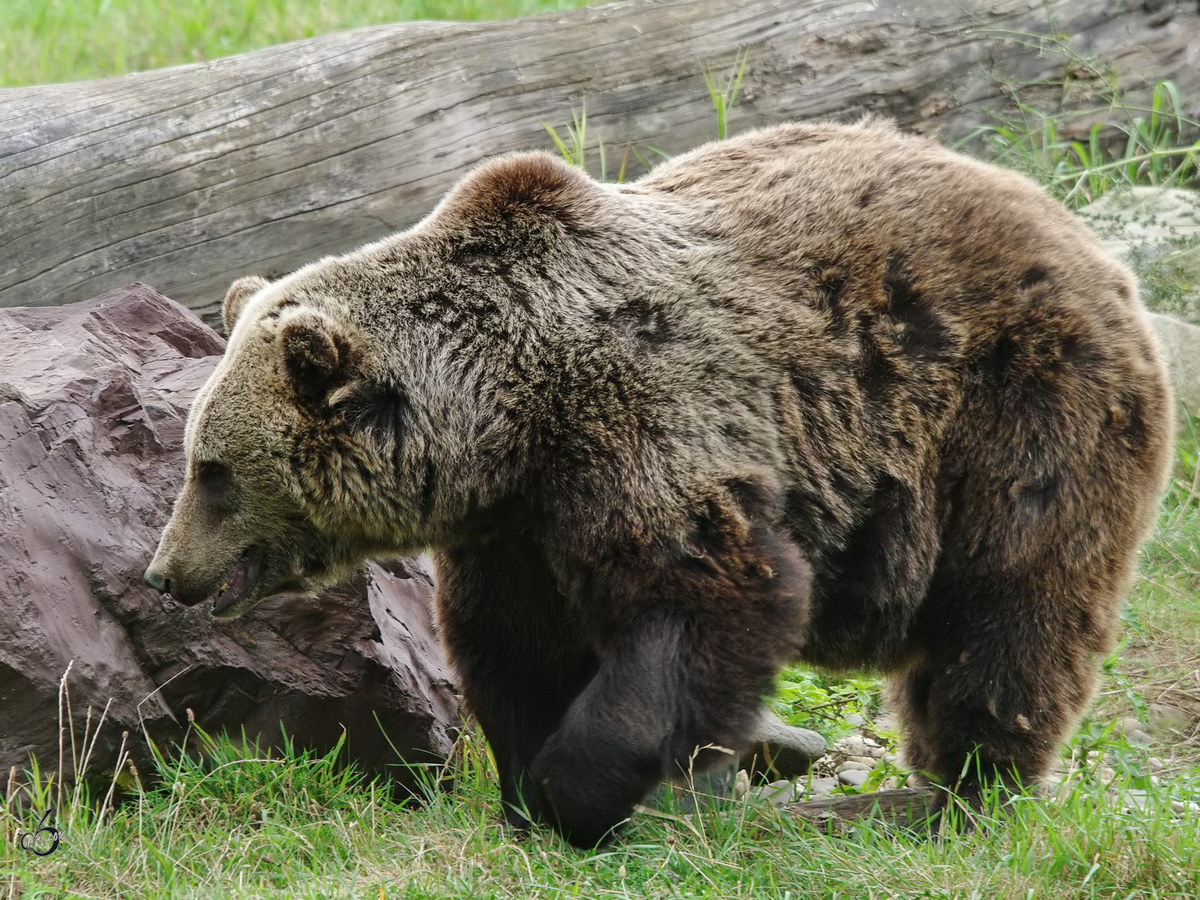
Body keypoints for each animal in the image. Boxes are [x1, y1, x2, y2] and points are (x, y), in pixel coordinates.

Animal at [145, 118, 1176, 844]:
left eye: (212, 471)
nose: (166, 571)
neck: (508, 416)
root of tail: (1085, 236)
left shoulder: (645, 424)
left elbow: (708, 600)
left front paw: (575, 791)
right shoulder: (516, 527)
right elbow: (514, 644)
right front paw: (530, 786)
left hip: (1014, 421)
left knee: (1007, 624)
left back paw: (945, 797)